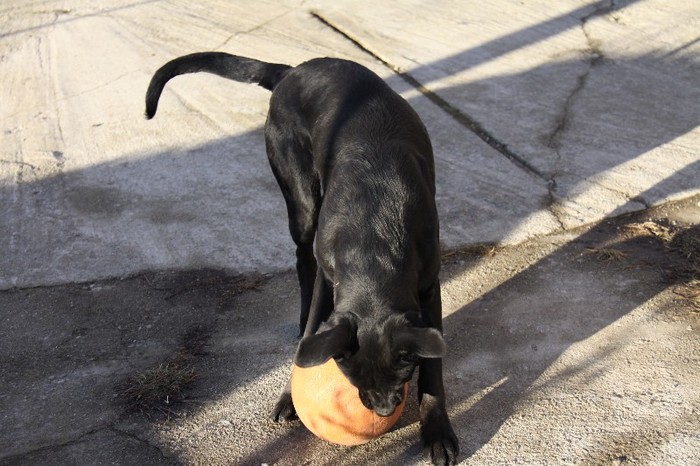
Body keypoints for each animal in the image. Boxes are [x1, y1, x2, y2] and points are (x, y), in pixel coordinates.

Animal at [144, 52, 460, 464]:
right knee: (302, 262)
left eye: (403, 372)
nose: (383, 410)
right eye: (352, 376)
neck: (374, 247)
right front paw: (290, 394)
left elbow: (434, 366)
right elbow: (313, 325)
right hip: (301, 196)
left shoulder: (429, 285)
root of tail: (294, 70)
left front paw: (436, 428)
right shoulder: (330, 275)